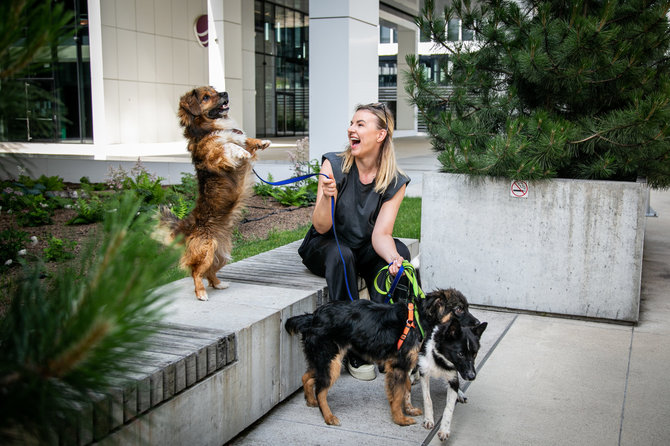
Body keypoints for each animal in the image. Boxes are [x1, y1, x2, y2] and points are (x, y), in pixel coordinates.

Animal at [159, 86, 272, 302]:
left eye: (214, 90)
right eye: (206, 97)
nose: (225, 93)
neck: (210, 127)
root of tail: (189, 226)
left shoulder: (237, 137)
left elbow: (243, 139)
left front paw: (261, 141)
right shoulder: (216, 156)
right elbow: (228, 146)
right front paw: (241, 151)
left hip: (222, 252)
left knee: (209, 271)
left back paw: (219, 284)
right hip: (207, 249)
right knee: (196, 272)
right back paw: (201, 293)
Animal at [420, 290, 488, 440]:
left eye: (475, 354)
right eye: (460, 354)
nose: (472, 376)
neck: (441, 358)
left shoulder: (453, 377)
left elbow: (449, 407)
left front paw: (444, 429)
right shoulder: (424, 372)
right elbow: (427, 399)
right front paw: (428, 419)